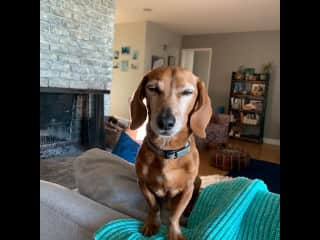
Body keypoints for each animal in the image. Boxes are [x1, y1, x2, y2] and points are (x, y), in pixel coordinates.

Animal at [129, 66, 211, 240]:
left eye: (187, 92)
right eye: (152, 88)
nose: (165, 122)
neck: (167, 150)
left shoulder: (187, 189)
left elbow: (175, 215)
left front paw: (174, 232)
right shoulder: (142, 183)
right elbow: (153, 205)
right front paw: (152, 223)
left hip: (198, 181)